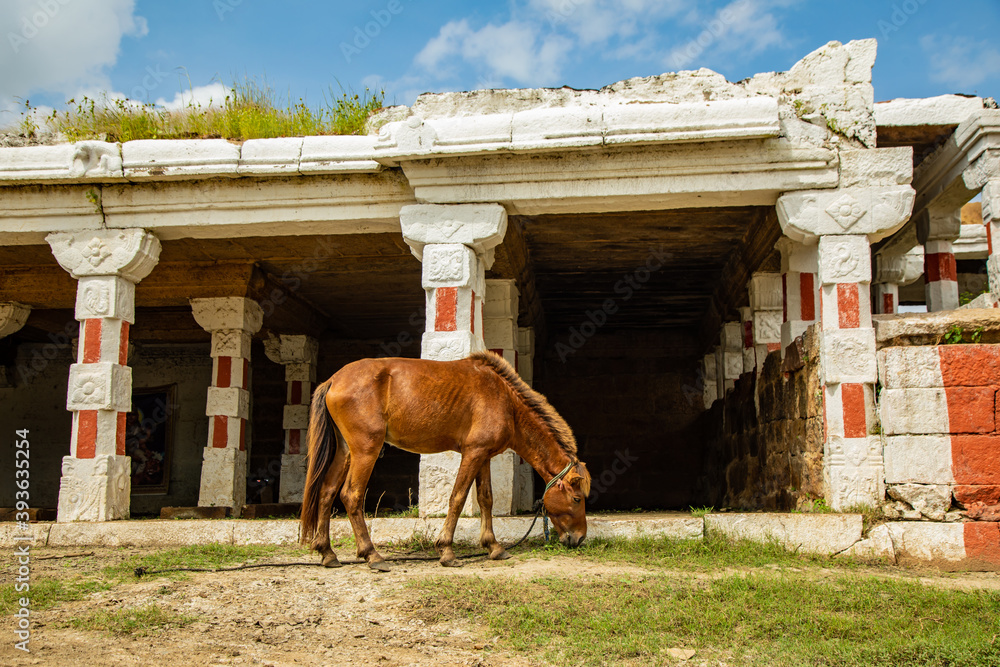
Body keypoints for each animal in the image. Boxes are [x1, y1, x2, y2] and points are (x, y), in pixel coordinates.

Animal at [300, 350, 588, 568]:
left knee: (327, 491)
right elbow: (458, 498)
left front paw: (493, 547)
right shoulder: (473, 454)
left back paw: (327, 553)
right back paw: (372, 555)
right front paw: (446, 550)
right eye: (577, 498)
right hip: (365, 450)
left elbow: (486, 499)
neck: (505, 400)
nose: (580, 538)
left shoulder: (483, 456)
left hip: (346, 452)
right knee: (351, 495)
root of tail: (334, 380)